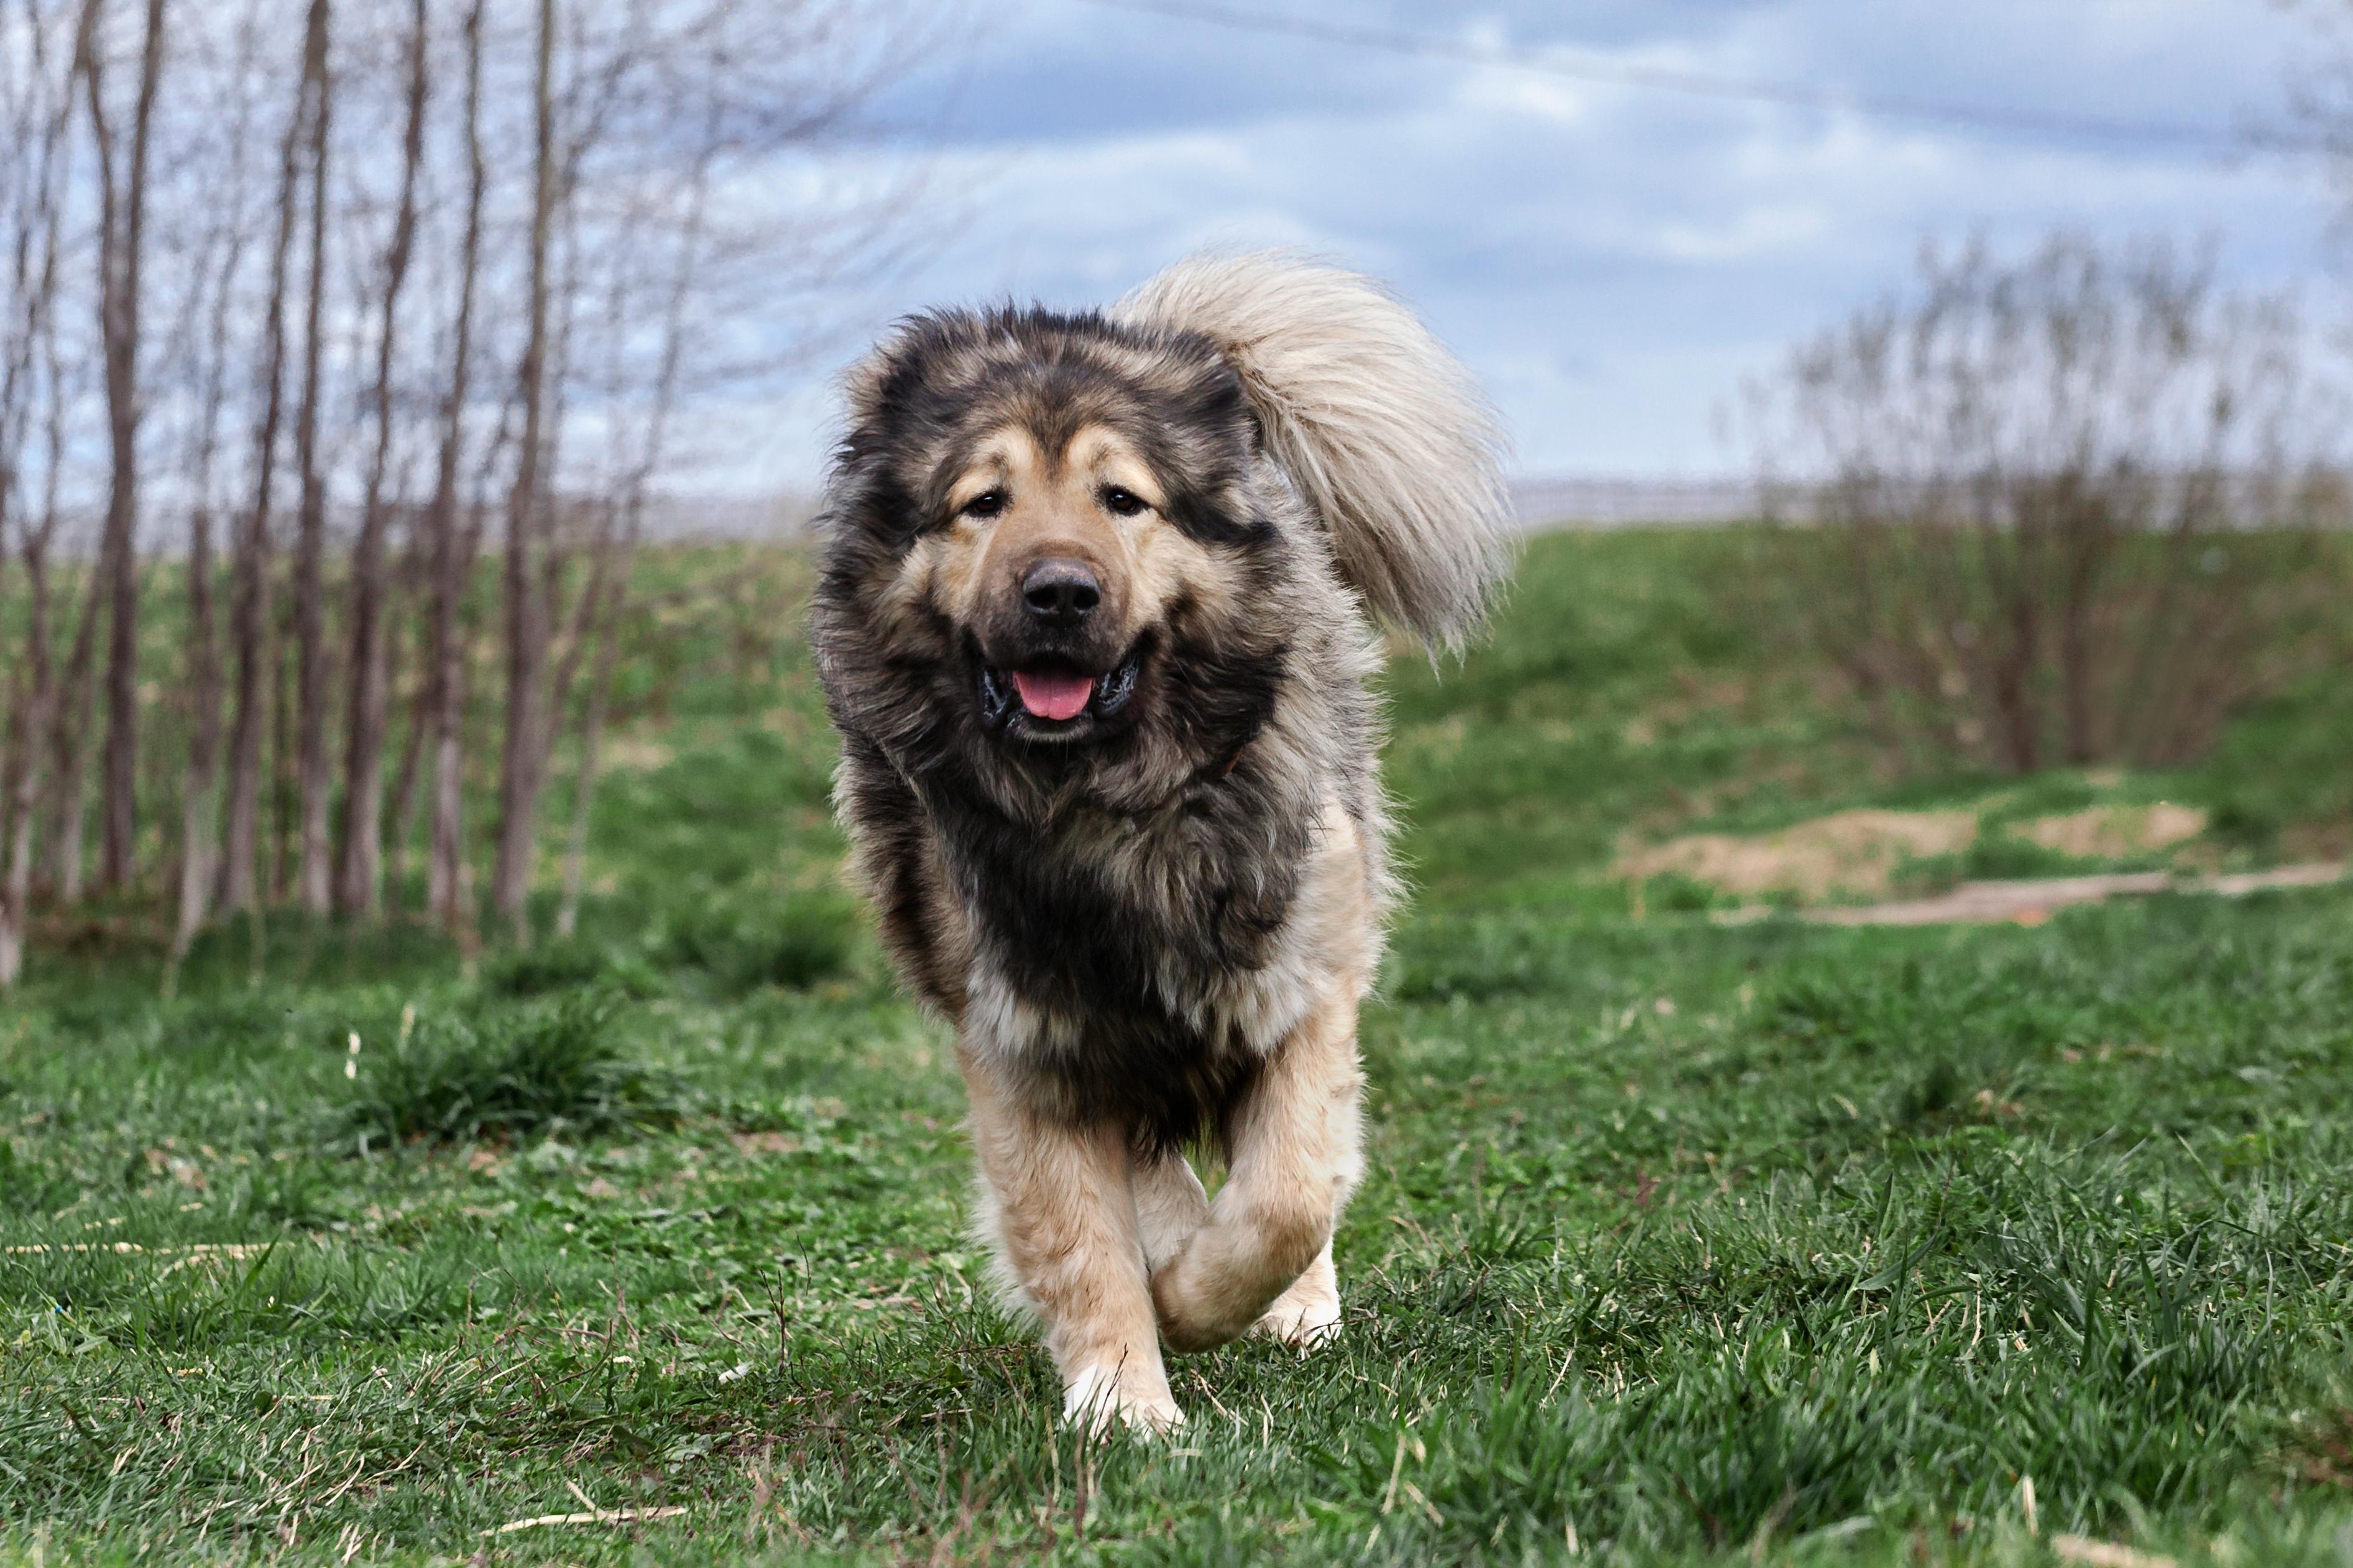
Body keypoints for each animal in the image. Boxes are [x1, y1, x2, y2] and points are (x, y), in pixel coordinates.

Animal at [809, 248, 1506, 1438]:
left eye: (1122, 498)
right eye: (983, 501)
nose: (1059, 592)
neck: (1103, 805)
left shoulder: (1301, 985)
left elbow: (1287, 1194)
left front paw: (1200, 1302)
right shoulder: (1026, 1040)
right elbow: (1081, 1236)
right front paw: (1125, 1400)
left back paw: (1294, 1309)